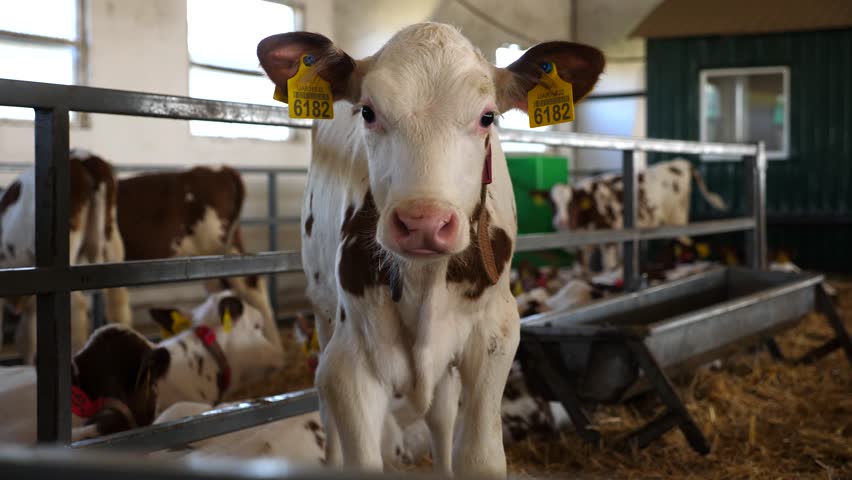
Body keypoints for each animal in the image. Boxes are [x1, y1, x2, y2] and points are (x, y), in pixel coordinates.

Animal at [544, 159, 724, 272]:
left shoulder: (608, 237)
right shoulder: (583, 246)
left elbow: (608, 266)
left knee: (686, 243)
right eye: (552, 204)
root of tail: (680, 162)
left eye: (572, 203)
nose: (560, 222)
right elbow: (582, 272)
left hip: (677, 218)